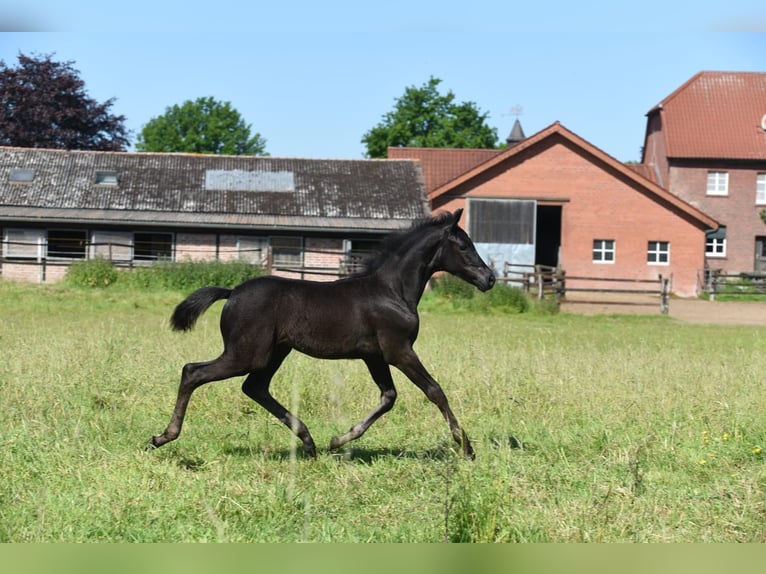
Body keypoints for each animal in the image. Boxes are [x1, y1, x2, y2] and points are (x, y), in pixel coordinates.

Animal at [151, 209, 498, 462]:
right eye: (464, 246)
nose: (490, 279)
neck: (392, 290)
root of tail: (232, 292)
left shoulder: (374, 355)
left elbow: (388, 397)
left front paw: (338, 440)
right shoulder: (398, 350)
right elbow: (435, 391)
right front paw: (466, 447)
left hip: (274, 352)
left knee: (255, 387)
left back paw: (310, 443)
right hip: (246, 353)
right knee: (193, 372)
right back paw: (163, 436)